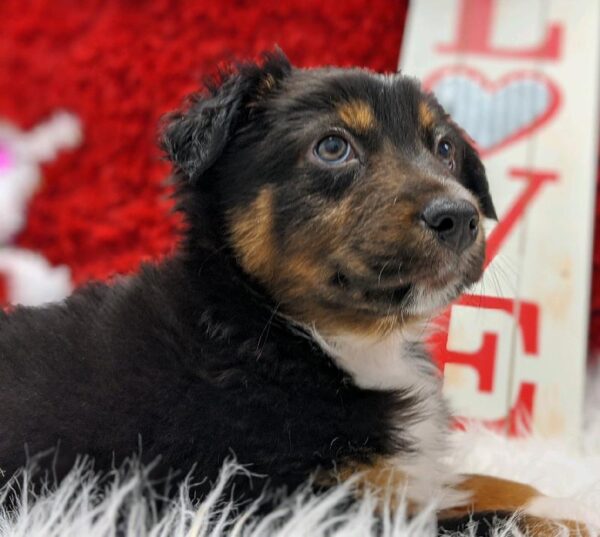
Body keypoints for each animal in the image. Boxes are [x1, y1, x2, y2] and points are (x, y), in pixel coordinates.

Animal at [0, 52, 584, 532]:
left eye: (443, 149)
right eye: (333, 147)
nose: (460, 217)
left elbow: (473, 484)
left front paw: (561, 499)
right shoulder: (270, 500)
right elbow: (464, 517)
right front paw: (566, 515)